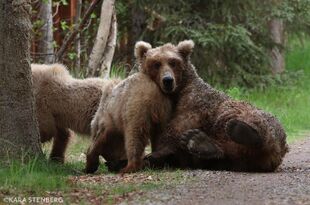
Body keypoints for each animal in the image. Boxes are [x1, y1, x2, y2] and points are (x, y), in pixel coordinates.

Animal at [84, 40, 189, 174]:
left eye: (173, 63)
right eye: (157, 64)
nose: (168, 80)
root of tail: (154, 94)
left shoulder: (109, 118)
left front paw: (90, 164)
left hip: (136, 108)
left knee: (134, 136)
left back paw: (130, 166)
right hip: (163, 113)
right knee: (160, 136)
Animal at [106, 39, 288, 171]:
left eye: (173, 62)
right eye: (156, 63)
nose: (167, 80)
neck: (177, 93)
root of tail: (275, 154)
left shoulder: (195, 101)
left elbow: (178, 126)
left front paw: (154, 154)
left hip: (243, 114)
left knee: (250, 123)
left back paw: (240, 130)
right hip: (233, 157)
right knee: (223, 156)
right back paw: (202, 144)